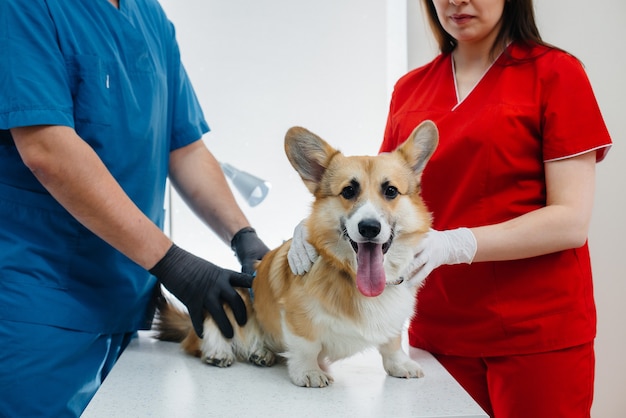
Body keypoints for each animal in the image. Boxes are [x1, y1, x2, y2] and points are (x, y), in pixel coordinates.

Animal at [155, 119, 436, 386]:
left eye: (391, 191)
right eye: (348, 191)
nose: (369, 227)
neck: (352, 277)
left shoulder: (394, 320)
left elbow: (392, 343)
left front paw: (400, 364)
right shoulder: (296, 316)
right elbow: (306, 346)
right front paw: (309, 372)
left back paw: (260, 352)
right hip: (232, 296)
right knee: (210, 332)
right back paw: (220, 351)